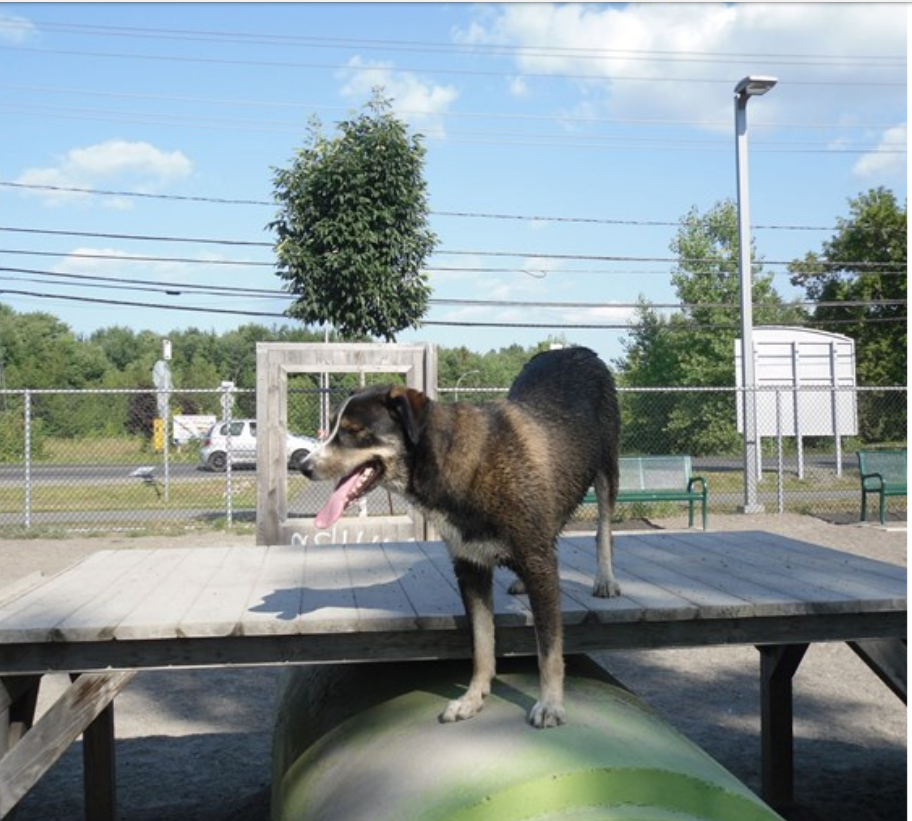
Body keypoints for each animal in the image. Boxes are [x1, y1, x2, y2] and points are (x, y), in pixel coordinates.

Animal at [302, 344, 624, 724]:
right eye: (333, 428)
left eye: (353, 431)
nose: (303, 466)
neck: (457, 462)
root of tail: (579, 349)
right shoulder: (471, 567)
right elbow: (482, 645)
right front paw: (473, 697)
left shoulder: (535, 561)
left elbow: (548, 648)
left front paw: (550, 702)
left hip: (607, 470)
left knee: (604, 529)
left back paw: (605, 579)